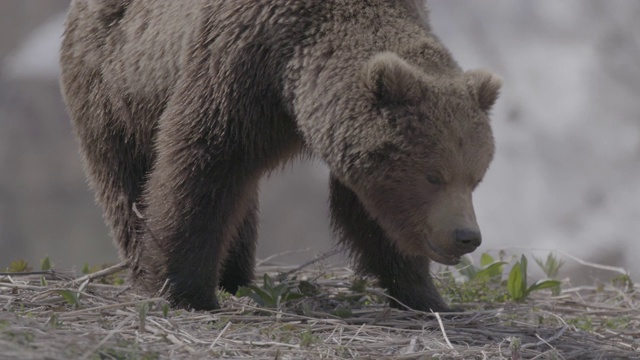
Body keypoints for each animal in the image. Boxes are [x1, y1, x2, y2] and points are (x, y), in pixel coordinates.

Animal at [60, 0, 500, 312]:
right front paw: (182, 291)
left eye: (476, 176)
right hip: (118, 87)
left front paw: (426, 295)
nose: (467, 236)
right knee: (127, 179)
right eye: (434, 175)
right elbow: (200, 166)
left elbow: (369, 212)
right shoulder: (239, 66)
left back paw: (235, 274)